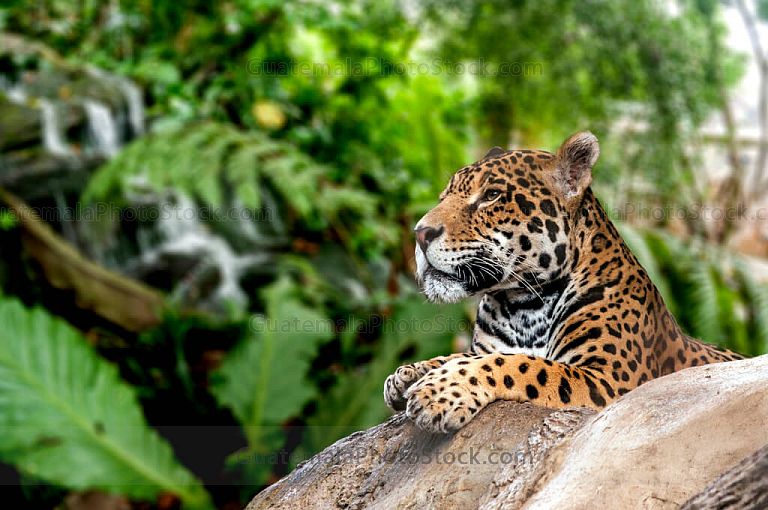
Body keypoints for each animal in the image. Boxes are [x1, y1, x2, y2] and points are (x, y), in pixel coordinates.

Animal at [384, 131, 745, 433]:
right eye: (444, 196)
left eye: (492, 195)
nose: (420, 233)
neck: (522, 305)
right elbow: (468, 355)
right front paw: (408, 373)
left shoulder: (612, 379)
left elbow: (521, 364)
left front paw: (440, 390)